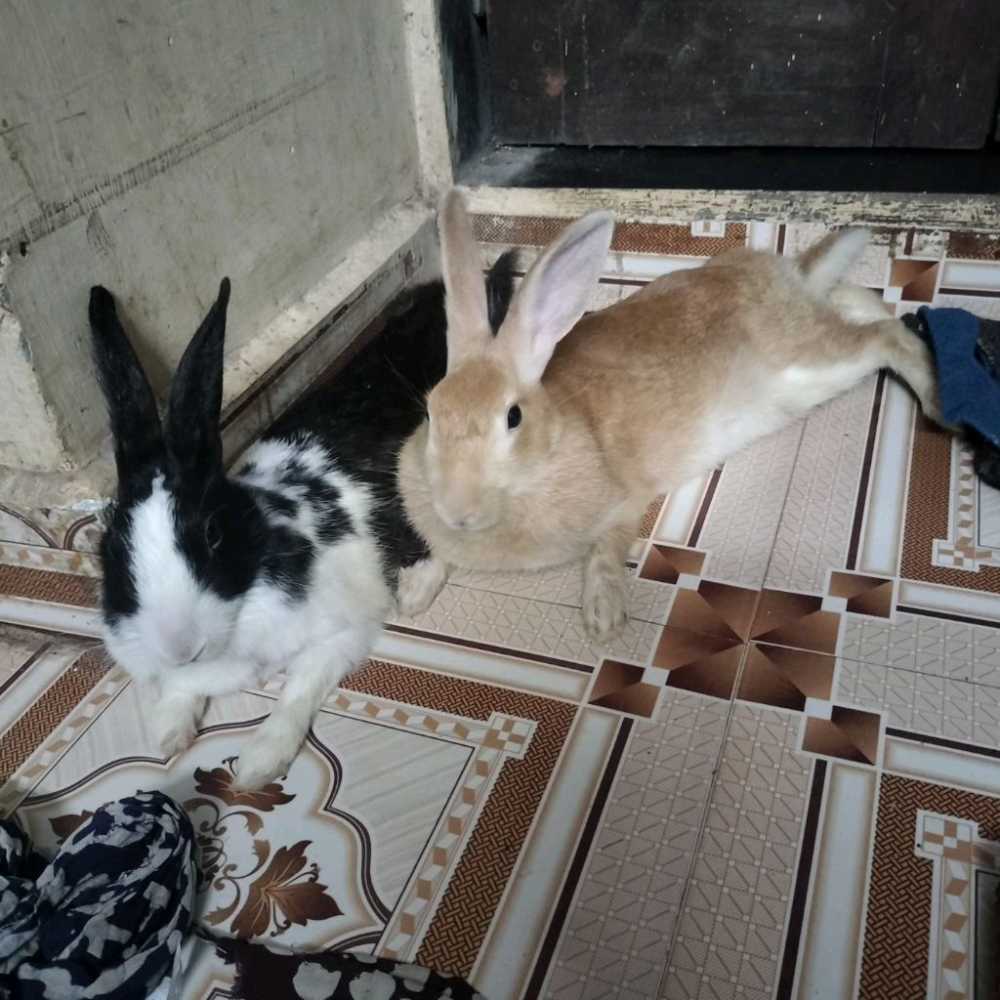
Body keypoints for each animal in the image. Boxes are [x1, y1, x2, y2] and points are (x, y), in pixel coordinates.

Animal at [89, 256, 515, 789]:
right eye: (109, 546)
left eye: (212, 534)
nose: (180, 647)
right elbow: (184, 691)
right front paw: (170, 732)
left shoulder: (339, 635)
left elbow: (296, 693)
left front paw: (258, 764)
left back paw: (416, 588)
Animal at [396, 189, 944, 642]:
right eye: (432, 411)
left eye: (512, 418)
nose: (457, 512)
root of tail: (788, 277)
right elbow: (439, 553)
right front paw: (413, 592)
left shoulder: (623, 502)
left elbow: (607, 551)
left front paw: (603, 618)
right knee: (860, 307)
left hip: (808, 366)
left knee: (887, 339)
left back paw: (938, 399)